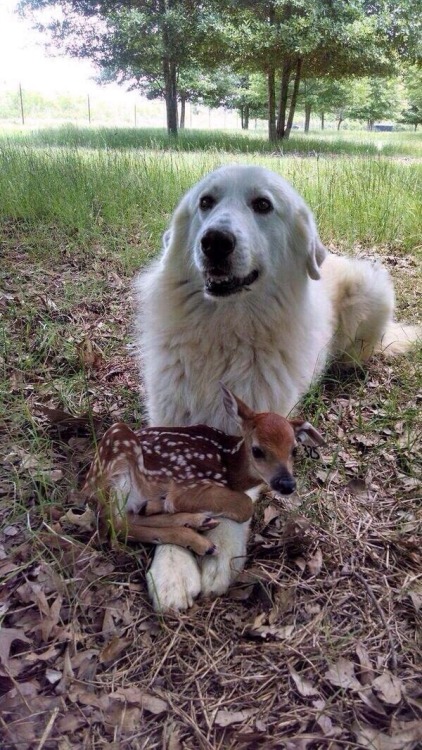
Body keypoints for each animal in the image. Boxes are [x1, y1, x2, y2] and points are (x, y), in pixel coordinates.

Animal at [137, 163, 420, 612]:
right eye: (206, 202)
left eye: (262, 205)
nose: (214, 241)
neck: (226, 331)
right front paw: (172, 566)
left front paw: (219, 550)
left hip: (371, 289)